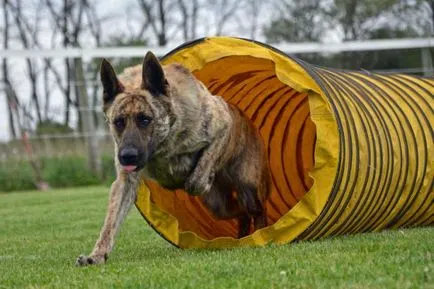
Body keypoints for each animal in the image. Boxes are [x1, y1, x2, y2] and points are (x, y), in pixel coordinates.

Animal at [76, 52, 270, 266]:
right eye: (118, 122)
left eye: (145, 119)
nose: (127, 156)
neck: (164, 144)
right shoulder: (125, 182)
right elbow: (110, 222)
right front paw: (97, 254)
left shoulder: (222, 125)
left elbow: (197, 176)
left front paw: (200, 178)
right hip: (220, 206)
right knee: (241, 214)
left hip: (247, 188)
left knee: (257, 210)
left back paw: (262, 232)